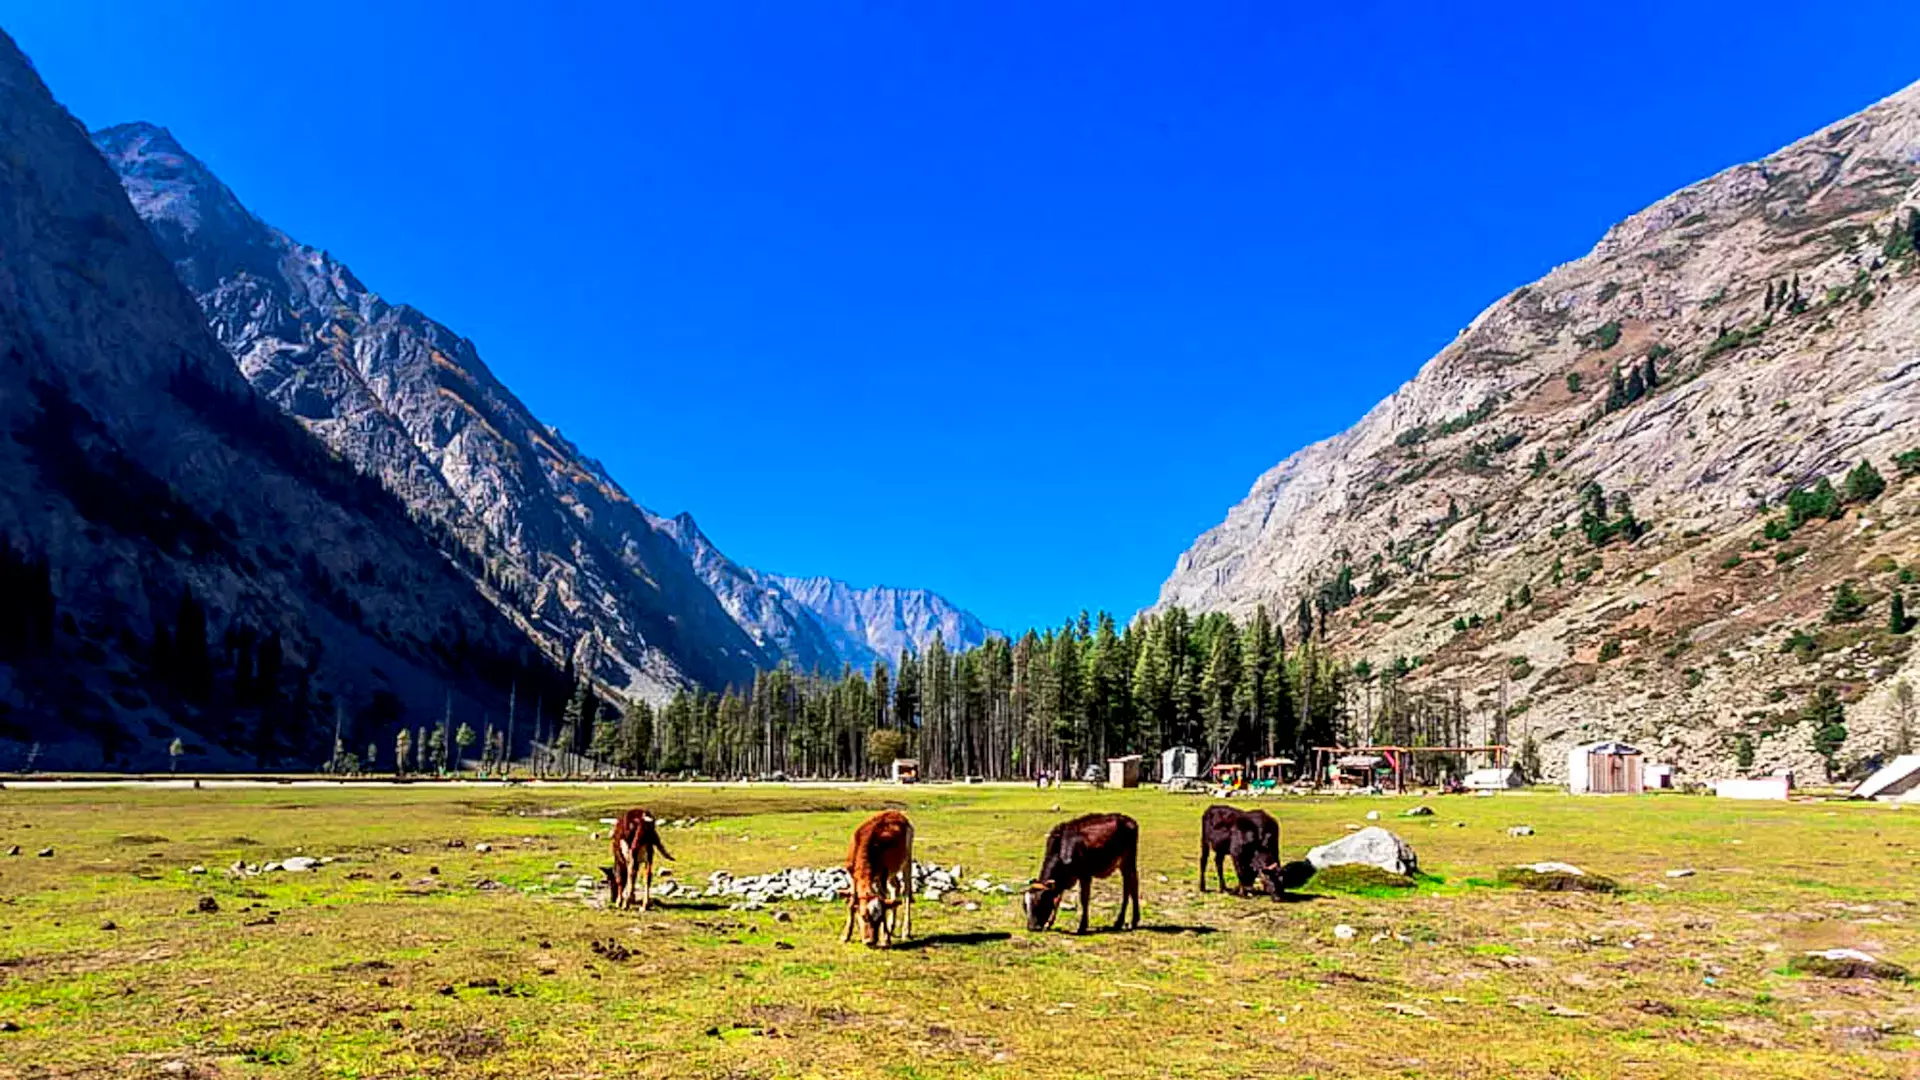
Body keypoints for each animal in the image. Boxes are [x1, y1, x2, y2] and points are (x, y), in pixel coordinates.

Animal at [840, 803, 913, 945]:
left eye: (879, 919)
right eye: (864, 916)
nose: (870, 941)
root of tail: (896, 812)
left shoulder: (882, 874)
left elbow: (884, 900)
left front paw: (885, 937)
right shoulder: (852, 875)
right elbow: (852, 901)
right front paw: (846, 935)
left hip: (907, 859)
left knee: (906, 892)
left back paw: (905, 931)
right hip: (892, 870)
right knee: (895, 887)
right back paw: (891, 926)